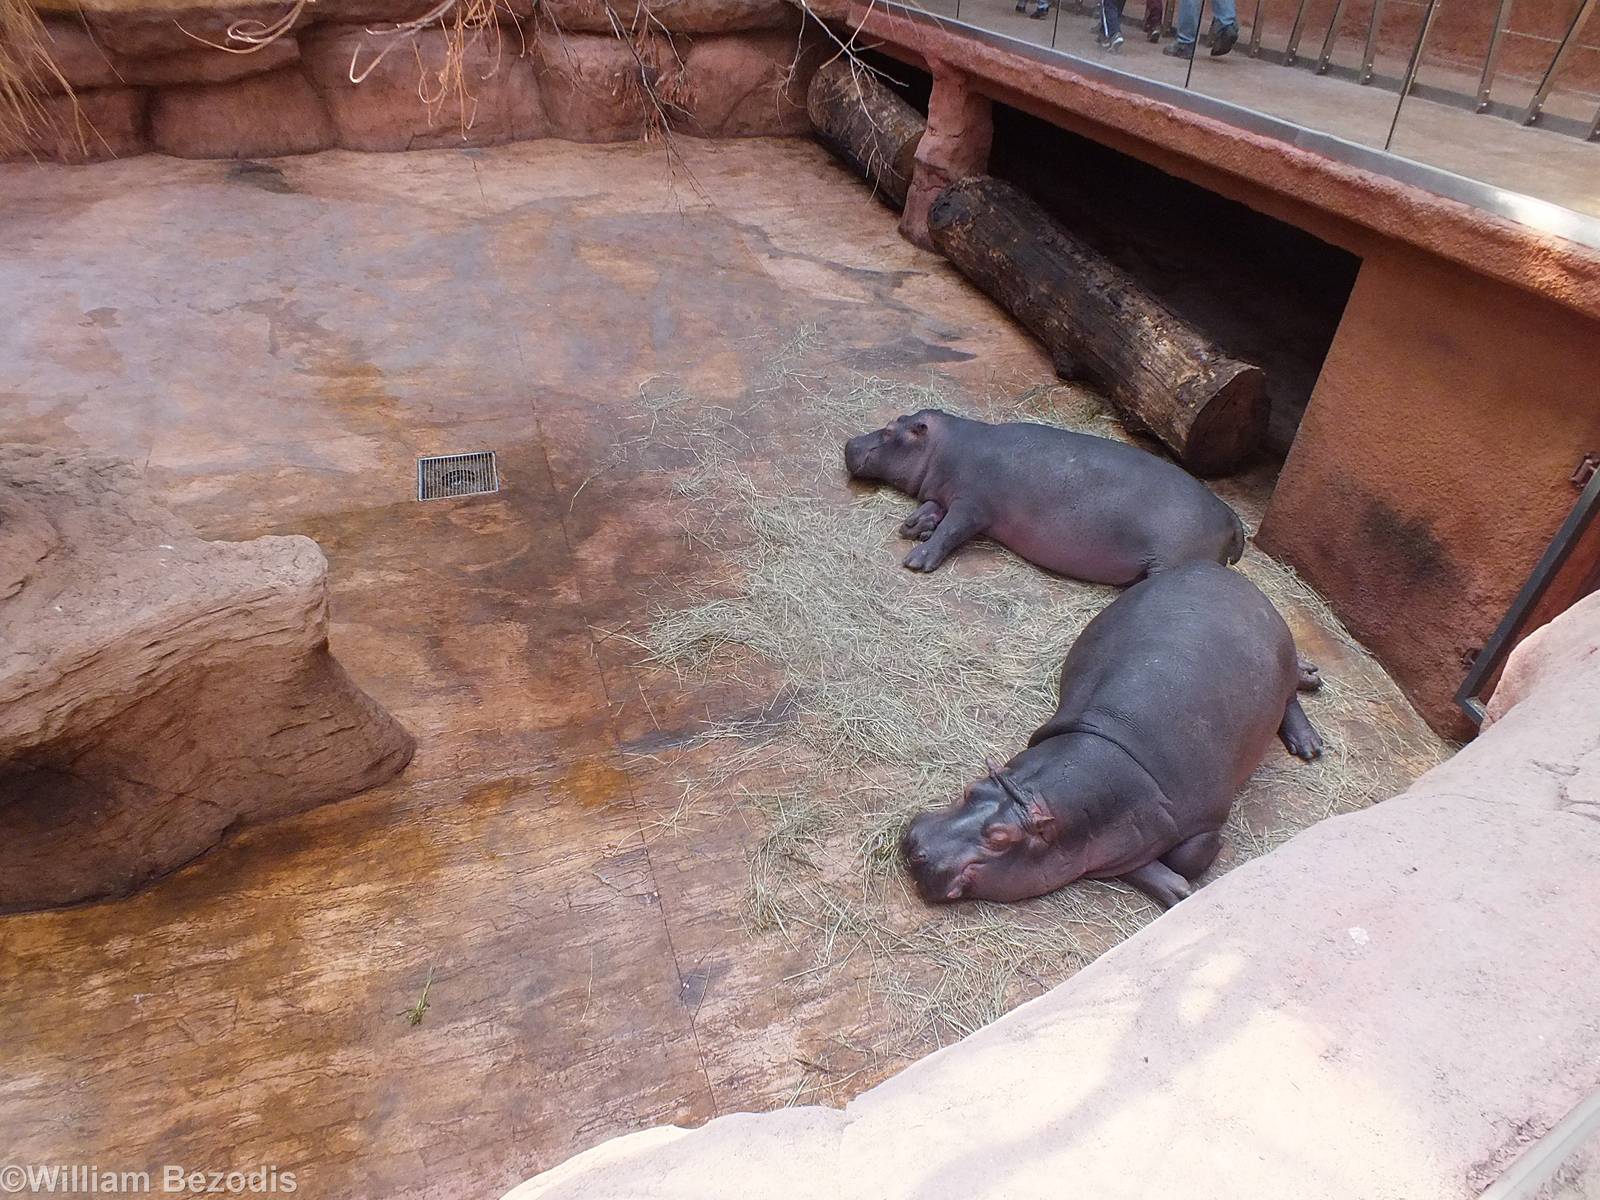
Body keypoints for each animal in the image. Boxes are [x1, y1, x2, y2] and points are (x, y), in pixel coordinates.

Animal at [843, 409, 1244, 583]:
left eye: (891, 429)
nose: (849, 444)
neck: (945, 446)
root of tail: (1230, 515)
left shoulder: (973, 505)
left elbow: (951, 530)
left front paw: (917, 559)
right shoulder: (947, 494)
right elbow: (933, 510)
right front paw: (913, 526)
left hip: (1172, 561)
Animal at [901, 561, 1323, 910]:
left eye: (1001, 839)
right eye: (970, 789)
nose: (919, 848)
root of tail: (1226, 574)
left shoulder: (1205, 820)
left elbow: (1189, 856)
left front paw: (1189, 879)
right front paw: (1174, 888)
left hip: (1278, 657)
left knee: (1288, 696)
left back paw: (1310, 739)